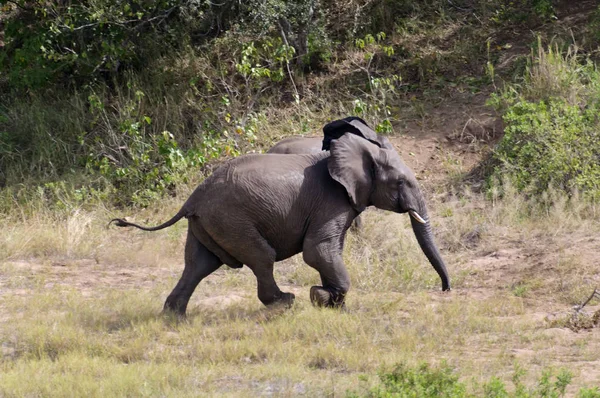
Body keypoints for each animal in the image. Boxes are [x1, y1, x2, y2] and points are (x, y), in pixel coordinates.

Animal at [112, 116, 450, 316]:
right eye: (401, 182)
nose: (446, 290)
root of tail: (192, 198)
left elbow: (329, 251)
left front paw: (329, 302)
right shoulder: (331, 201)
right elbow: (318, 251)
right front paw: (320, 298)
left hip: (207, 224)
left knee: (199, 264)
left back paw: (174, 317)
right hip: (231, 219)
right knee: (261, 256)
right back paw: (284, 302)